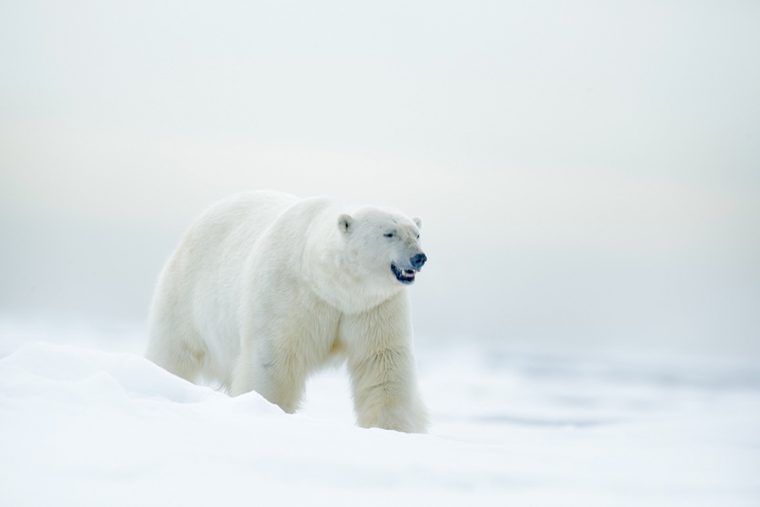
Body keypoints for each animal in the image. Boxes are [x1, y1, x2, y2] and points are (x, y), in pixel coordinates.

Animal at [145, 190, 429, 433]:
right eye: (389, 233)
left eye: (416, 234)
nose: (419, 257)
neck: (331, 286)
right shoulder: (289, 295)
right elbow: (274, 358)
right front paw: (265, 409)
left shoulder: (373, 306)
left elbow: (382, 359)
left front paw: (391, 428)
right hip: (185, 292)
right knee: (172, 351)